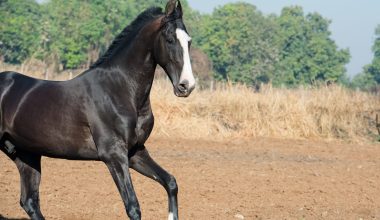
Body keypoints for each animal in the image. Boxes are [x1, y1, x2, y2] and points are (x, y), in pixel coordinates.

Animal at [0, 0, 194, 219]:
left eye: (189, 41)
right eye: (169, 39)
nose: (186, 86)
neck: (119, 90)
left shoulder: (135, 152)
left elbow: (170, 182)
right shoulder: (113, 155)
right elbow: (133, 206)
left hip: (26, 154)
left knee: (30, 201)